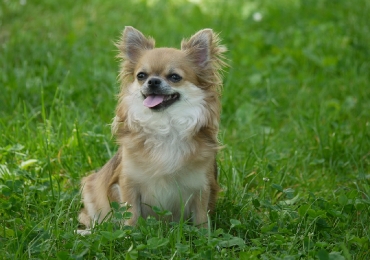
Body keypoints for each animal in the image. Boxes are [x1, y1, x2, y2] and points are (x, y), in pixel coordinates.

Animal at [79, 26, 227, 230]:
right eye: (141, 76)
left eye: (175, 77)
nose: (153, 81)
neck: (165, 126)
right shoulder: (127, 184)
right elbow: (131, 216)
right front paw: (129, 233)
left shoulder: (201, 187)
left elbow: (201, 221)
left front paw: (204, 235)